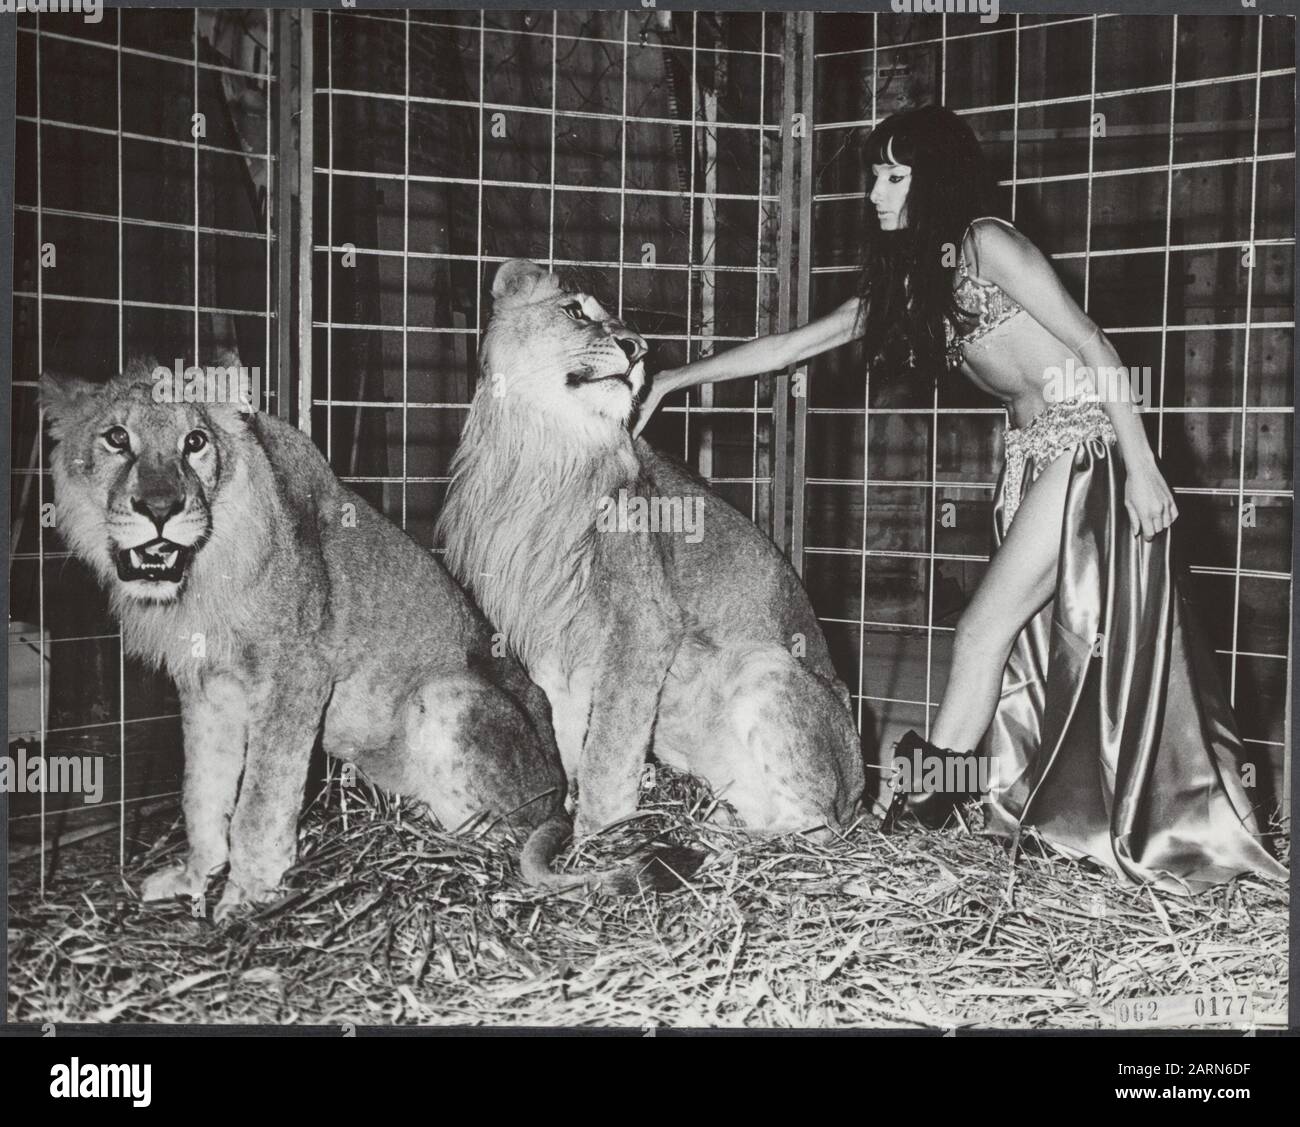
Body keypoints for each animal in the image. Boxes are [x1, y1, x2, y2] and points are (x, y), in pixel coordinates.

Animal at [41, 359, 691, 921]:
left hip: (447, 694)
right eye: (116, 438)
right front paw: (196, 875)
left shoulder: (297, 676)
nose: (160, 508)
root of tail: (558, 796)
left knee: (506, 837)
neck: (201, 575)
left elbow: (259, 802)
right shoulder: (205, 689)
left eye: (195, 442)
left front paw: (247, 897)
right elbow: (201, 793)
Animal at [437, 261, 866, 839]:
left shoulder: (644, 623)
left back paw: (724, 839)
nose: (639, 348)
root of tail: (861, 793)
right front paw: (567, 809)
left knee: (816, 824)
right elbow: (568, 732)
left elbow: (610, 741)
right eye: (575, 312)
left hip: (763, 665)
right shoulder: (553, 635)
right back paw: (716, 818)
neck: (546, 451)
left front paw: (598, 831)